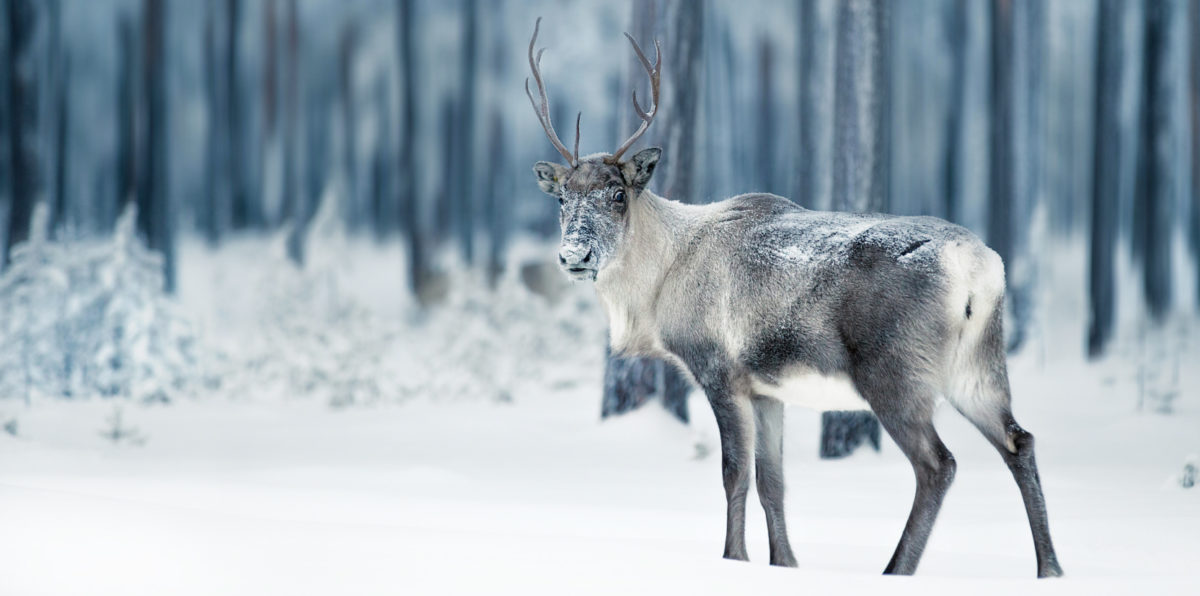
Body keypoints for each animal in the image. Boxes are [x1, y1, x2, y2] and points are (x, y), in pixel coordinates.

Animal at [524, 18, 1062, 578]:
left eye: (617, 194)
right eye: (562, 199)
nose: (574, 254)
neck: (660, 285)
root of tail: (979, 267)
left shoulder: (720, 370)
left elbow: (734, 474)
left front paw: (734, 558)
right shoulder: (767, 389)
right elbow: (773, 482)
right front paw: (784, 563)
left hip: (896, 371)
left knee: (939, 464)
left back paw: (896, 568)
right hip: (978, 364)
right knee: (1019, 440)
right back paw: (1049, 567)